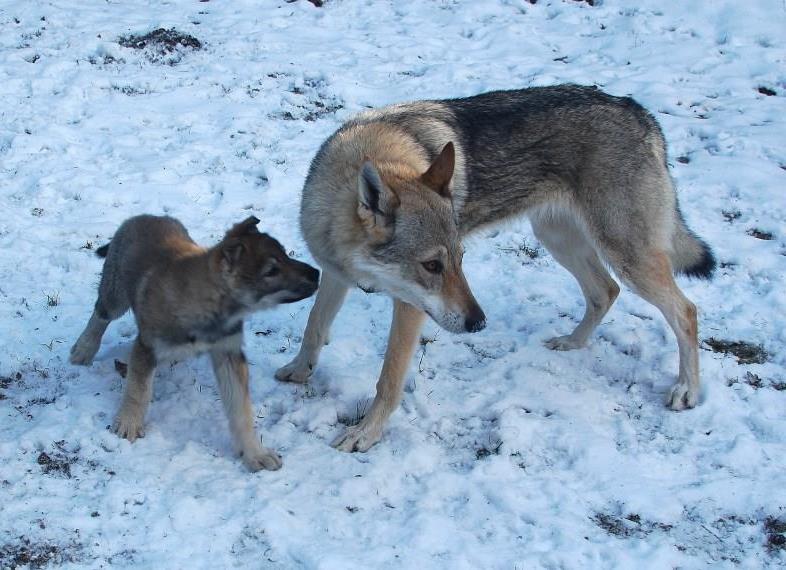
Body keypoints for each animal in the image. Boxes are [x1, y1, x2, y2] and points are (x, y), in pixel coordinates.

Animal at [276, 84, 712, 450]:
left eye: (460, 259)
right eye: (432, 265)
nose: (478, 323)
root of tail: (638, 111)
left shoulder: (410, 307)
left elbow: (389, 378)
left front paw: (366, 433)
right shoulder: (335, 273)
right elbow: (313, 327)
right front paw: (299, 370)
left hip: (625, 256)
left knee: (686, 310)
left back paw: (687, 391)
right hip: (557, 239)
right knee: (605, 291)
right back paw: (571, 343)